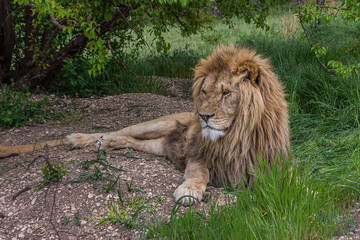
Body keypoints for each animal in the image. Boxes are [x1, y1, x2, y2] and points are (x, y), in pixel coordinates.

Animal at [0, 46, 290, 205]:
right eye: (205, 92)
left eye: (227, 94)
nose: (203, 116)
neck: (235, 137)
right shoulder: (199, 156)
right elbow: (199, 174)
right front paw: (188, 191)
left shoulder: (272, 164)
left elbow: (294, 183)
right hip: (151, 124)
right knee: (117, 130)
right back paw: (81, 139)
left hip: (158, 146)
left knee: (130, 141)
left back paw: (105, 144)